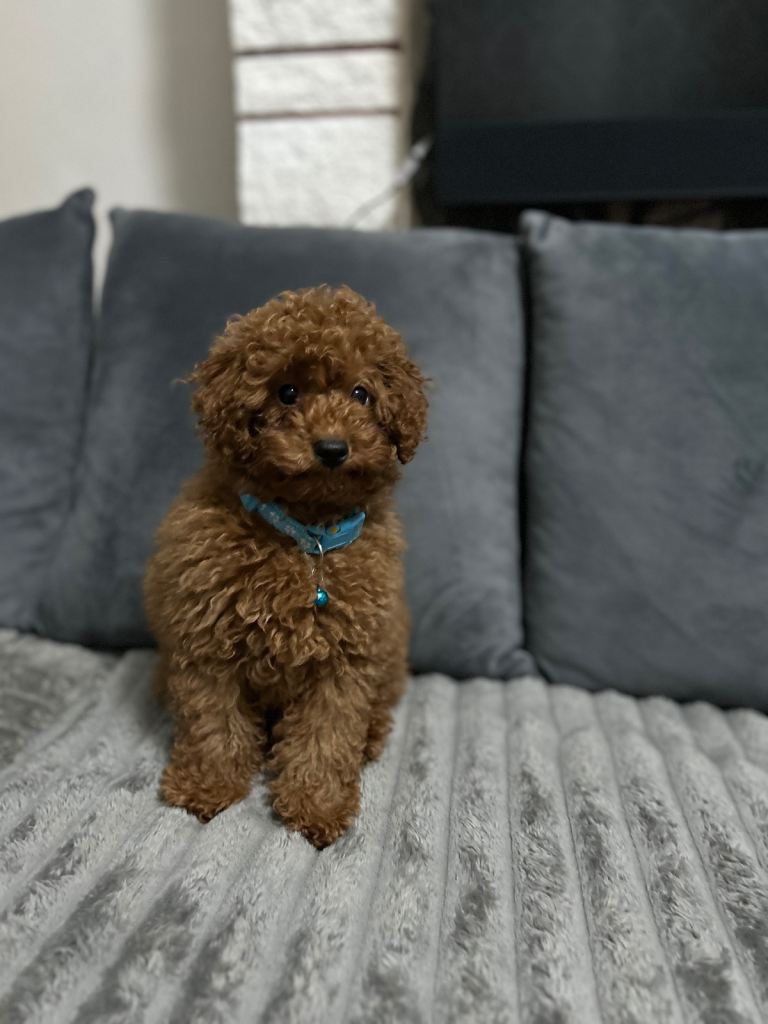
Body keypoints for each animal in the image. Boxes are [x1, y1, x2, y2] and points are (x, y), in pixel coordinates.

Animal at [144, 285, 428, 847]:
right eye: (287, 393)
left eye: (361, 394)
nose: (332, 448)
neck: (306, 537)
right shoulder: (206, 640)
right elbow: (212, 722)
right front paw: (208, 785)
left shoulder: (346, 659)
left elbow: (327, 734)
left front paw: (317, 804)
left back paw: (371, 738)